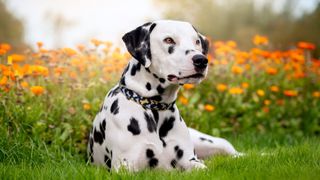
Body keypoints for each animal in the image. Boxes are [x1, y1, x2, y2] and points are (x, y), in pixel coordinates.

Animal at [87, 20, 240, 172]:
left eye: (196, 41)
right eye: (169, 40)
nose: (201, 60)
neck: (154, 107)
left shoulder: (191, 161)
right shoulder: (124, 167)